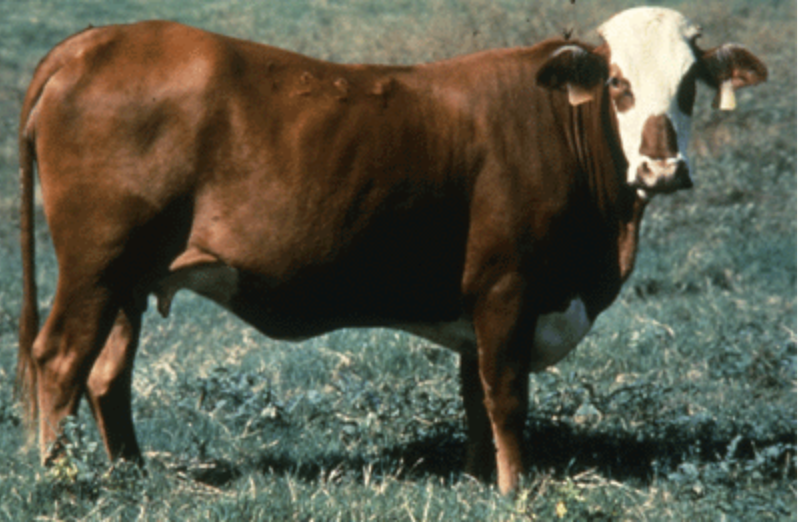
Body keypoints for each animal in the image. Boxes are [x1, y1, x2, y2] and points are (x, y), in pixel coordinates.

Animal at [17, 7, 766, 493]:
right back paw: (63, 480)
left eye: (690, 85)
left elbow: (474, 396)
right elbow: (506, 396)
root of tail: (98, 42)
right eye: (618, 85)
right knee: (58, 362)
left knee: (106, 374)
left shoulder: (479, 304)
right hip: (93, 266)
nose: (661, 168)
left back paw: (131, 475)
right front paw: (514, 490)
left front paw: (477, 480)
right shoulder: (508, 288)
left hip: (129, 280)